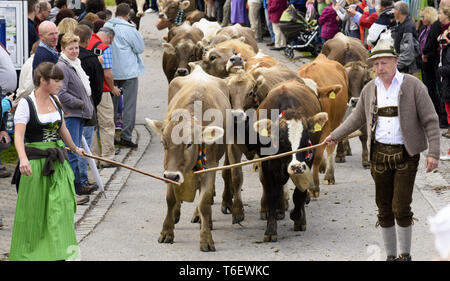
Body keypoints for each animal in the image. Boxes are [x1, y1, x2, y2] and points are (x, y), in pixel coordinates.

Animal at [147, 65, 232, 252]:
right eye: (163, 142)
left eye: (189, 143)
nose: (172, 176)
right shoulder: (168, 169)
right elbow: (170, 199)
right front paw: (167, 231)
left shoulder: (210, 165)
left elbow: (204, 201)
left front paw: (206, 238)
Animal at [298, 54, 350, 197]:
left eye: (313, 99)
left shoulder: (325, 130)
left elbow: (317, 156)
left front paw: (314, 187)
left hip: (334, 124)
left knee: (330, 148)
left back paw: (329, 175)